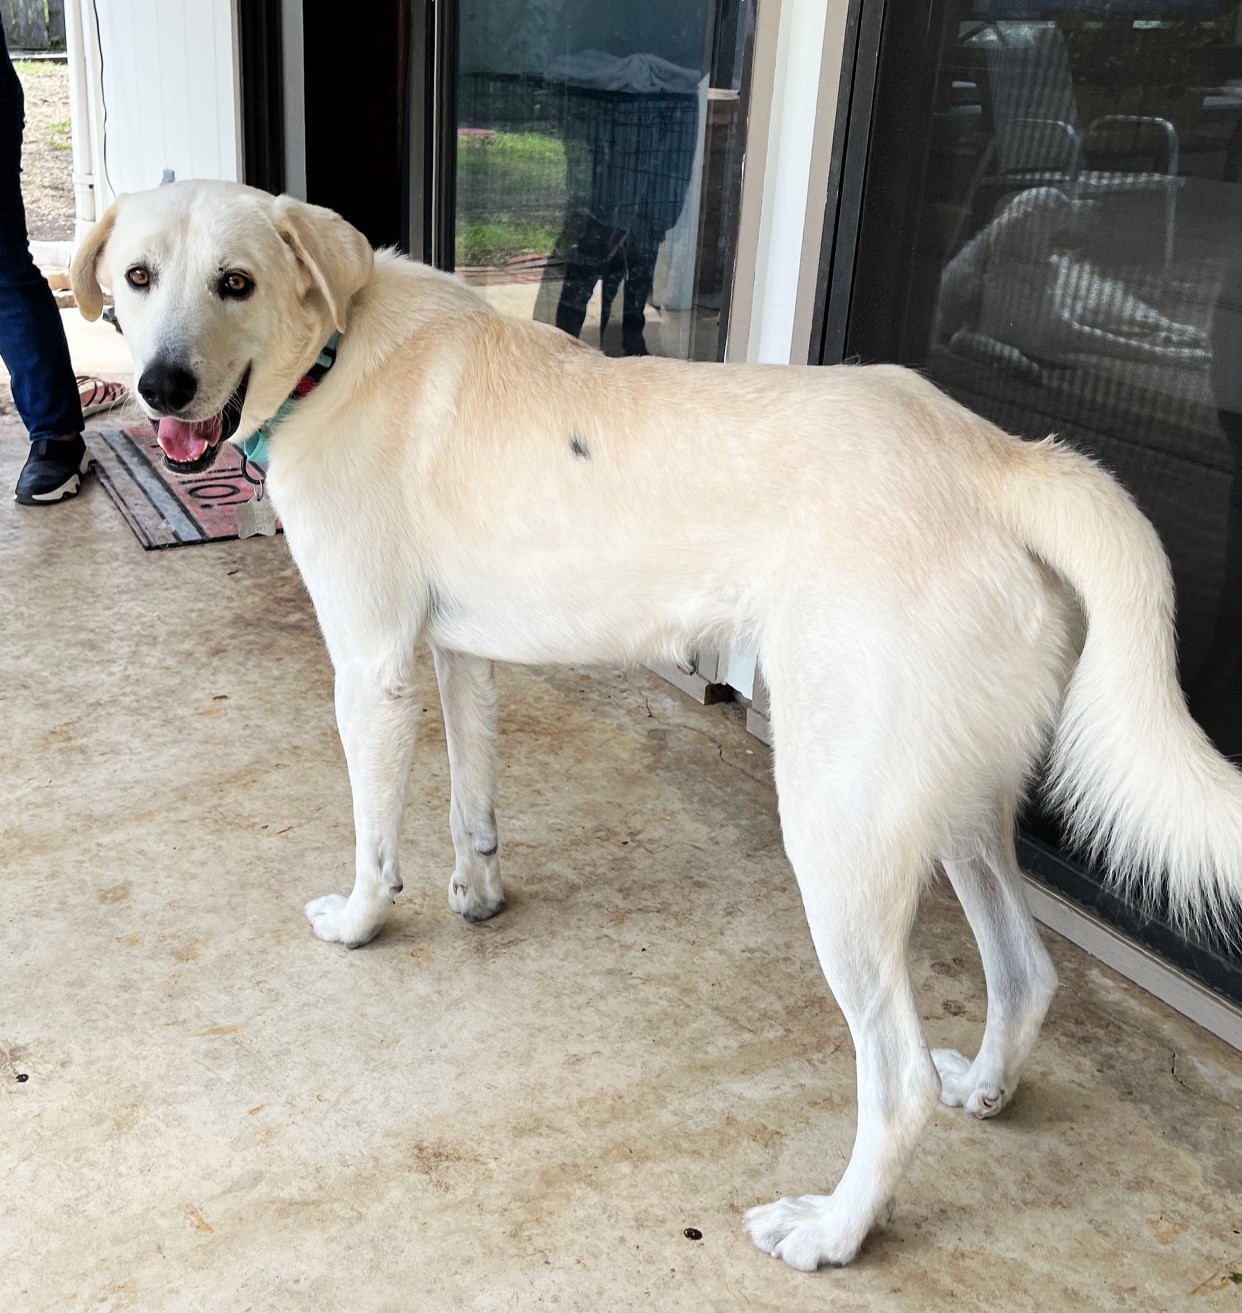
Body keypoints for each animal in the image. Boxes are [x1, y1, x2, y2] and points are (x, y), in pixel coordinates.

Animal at [70, 179, 1239, 1265]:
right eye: (138, 277)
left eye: (236, 282)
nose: (161, 385)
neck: (336, 349)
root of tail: (1000, 457)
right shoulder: (460, 657)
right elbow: (471, 802)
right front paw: (479, 896)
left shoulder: (371, 669)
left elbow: (374, 836)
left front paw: (362, 922)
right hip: (950, 796)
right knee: (1025, 972)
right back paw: (988, 1087)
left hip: (840, 827)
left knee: (897, 1076)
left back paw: (834, 1230)